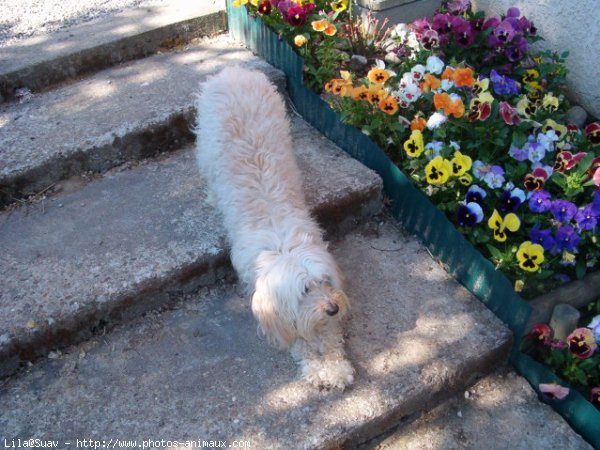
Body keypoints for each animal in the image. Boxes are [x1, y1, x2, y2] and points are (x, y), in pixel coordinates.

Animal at [197, 65, 354, 388]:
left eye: (325, 281)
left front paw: (336, 365)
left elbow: (328, 335)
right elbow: (299, 338)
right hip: (205, 146)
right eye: (304, 290)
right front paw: (317, 366)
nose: (333, 308)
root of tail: (233, 70)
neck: (281, 242)